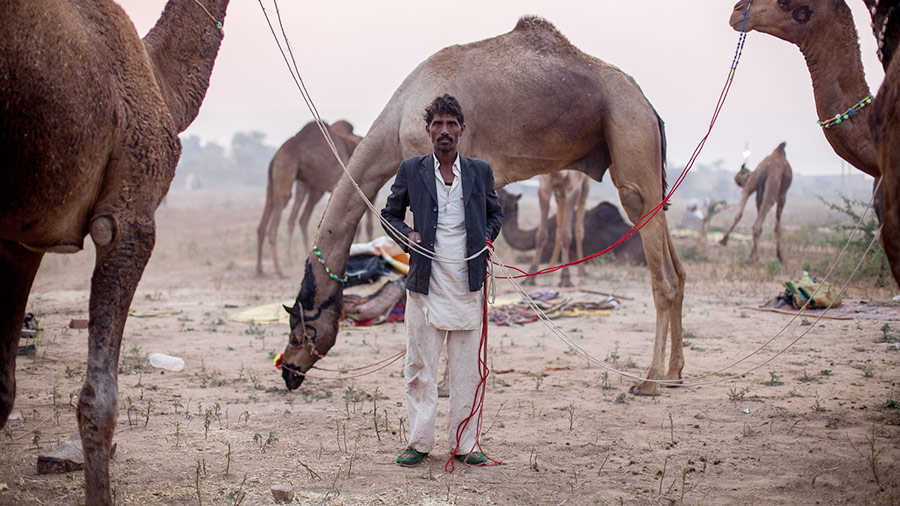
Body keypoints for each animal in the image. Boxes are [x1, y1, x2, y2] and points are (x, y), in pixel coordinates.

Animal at [255, 119, 373, 277]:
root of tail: (274, 158)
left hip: (276, 180)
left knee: (268, 217)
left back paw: (260, 269)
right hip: (287, 173)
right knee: (277, 223)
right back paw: (280, 270)